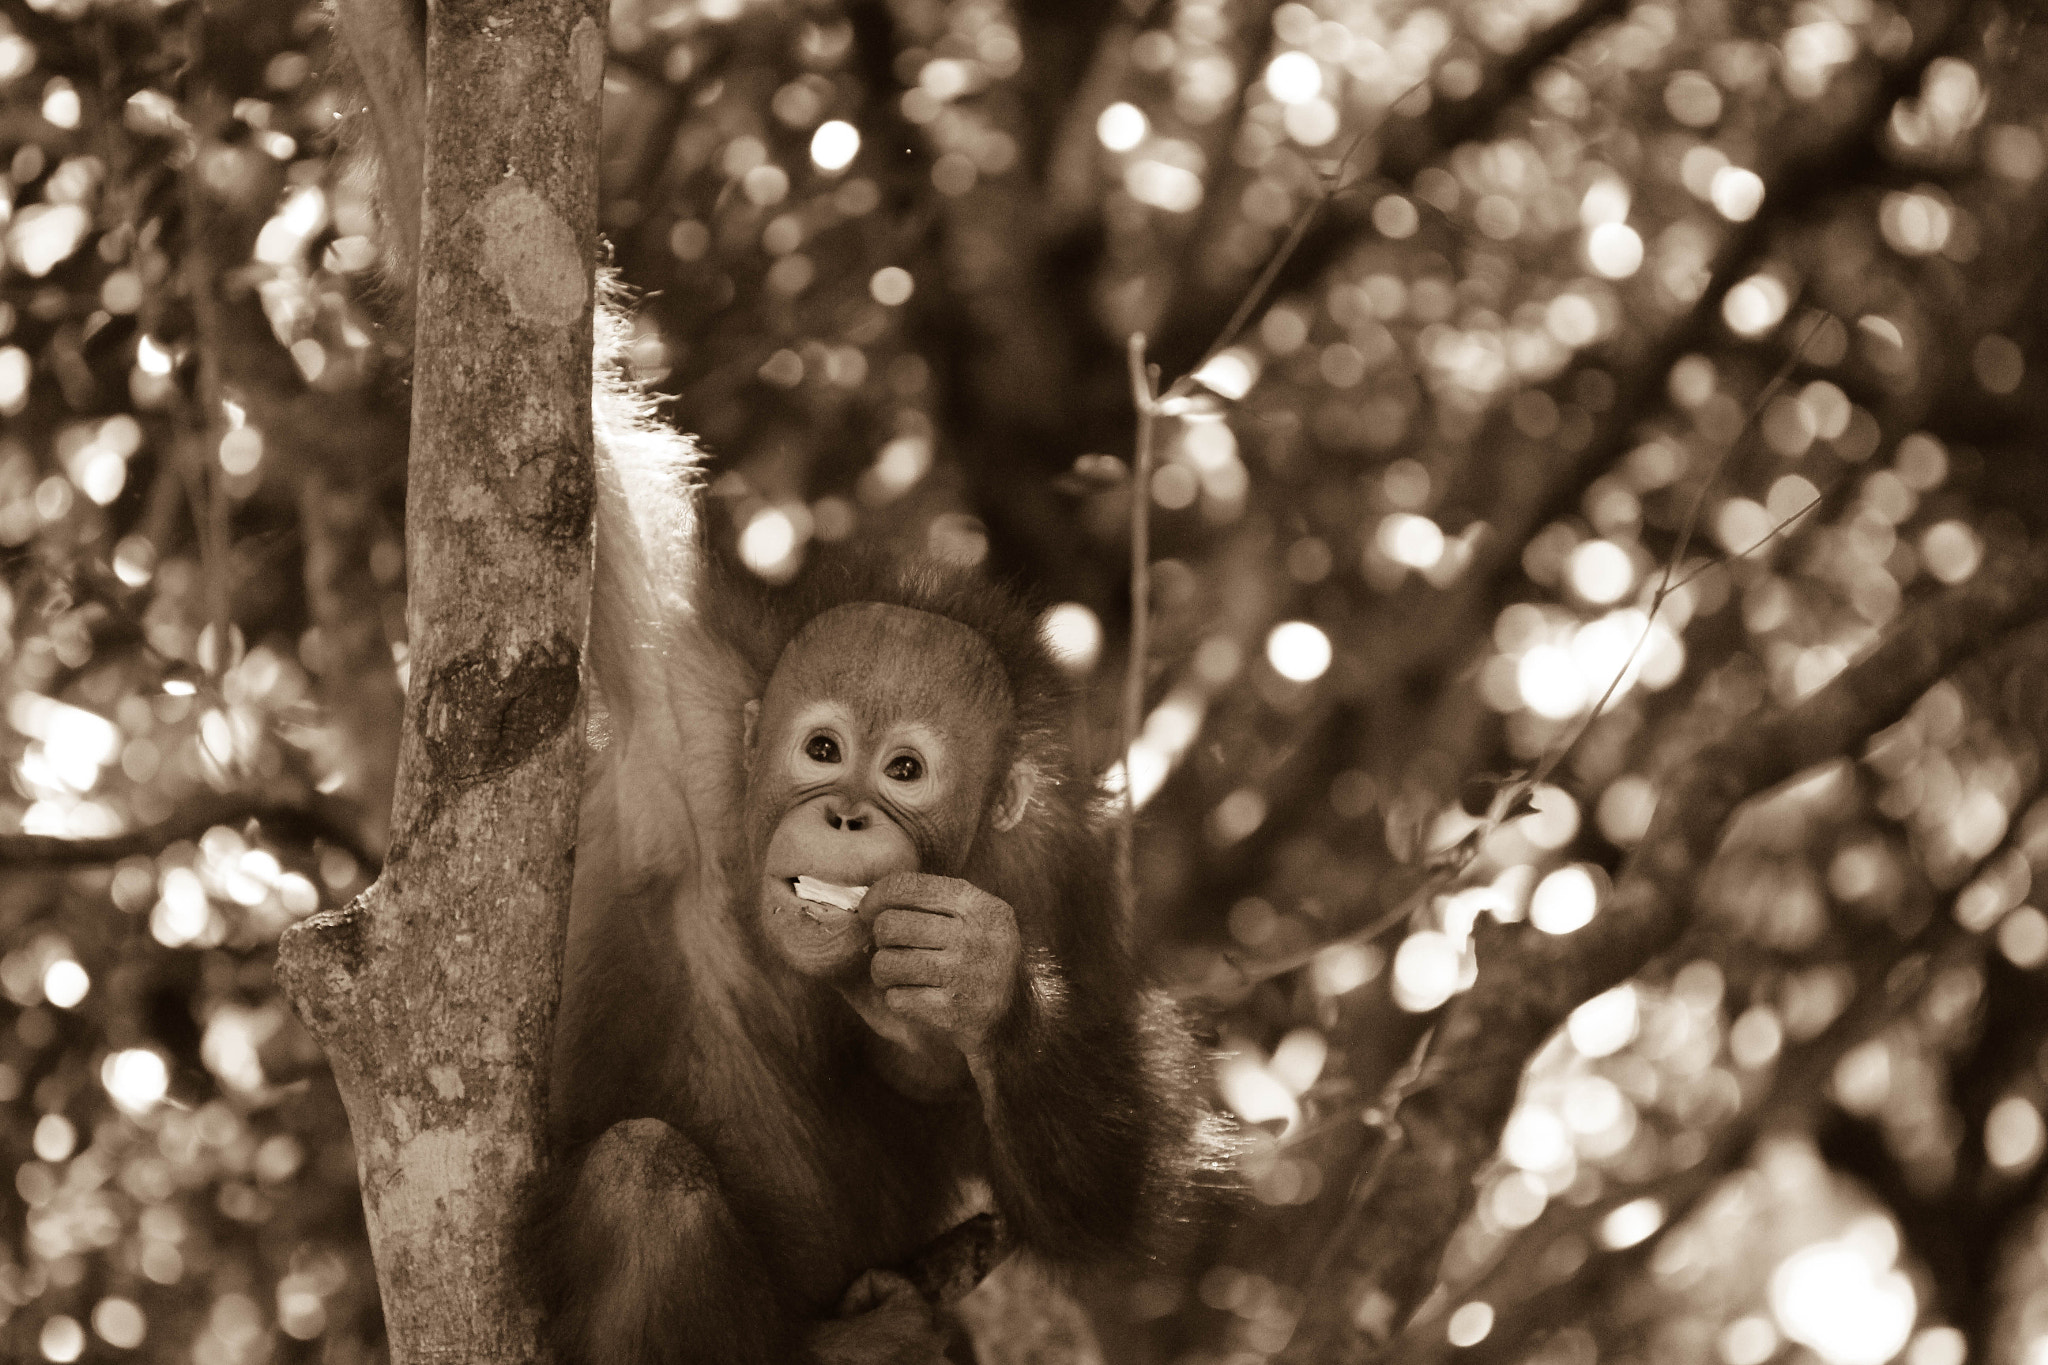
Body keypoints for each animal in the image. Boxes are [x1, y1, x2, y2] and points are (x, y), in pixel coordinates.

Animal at [324, 4, 1236, 1360]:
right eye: (818, 749)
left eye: (904, 769)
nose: (847, 812)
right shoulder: (682, 706)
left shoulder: (1056, 871)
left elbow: (1105, 1195)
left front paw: (980, 986)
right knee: (646, 1182)